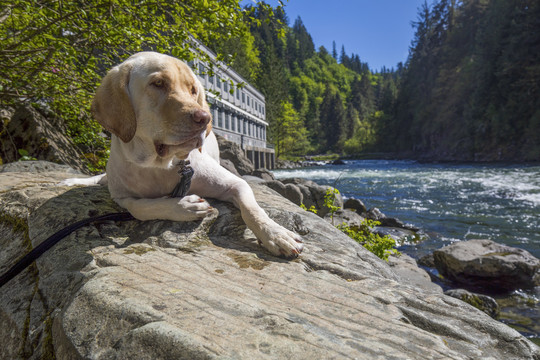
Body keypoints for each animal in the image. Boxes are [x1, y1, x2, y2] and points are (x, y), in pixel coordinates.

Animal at [65, 52, 302, 258]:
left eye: (193, 90)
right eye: (158, 83)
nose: (205, 118)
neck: (159, 164)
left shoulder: (235, 183)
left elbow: (252, 209)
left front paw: (275, 234)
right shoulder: (122, 197)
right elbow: (141, 207)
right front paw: (184, 206)